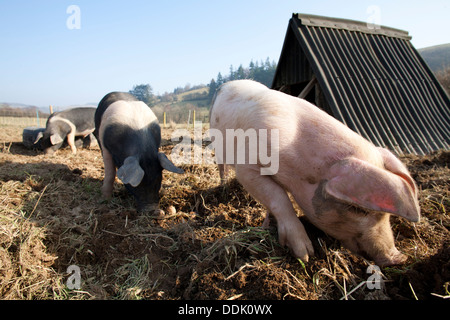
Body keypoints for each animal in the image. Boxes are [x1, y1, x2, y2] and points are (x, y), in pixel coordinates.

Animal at [209, 79, 420, 268]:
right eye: (358, 209)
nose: (398, 258)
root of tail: (226, 85)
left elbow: (274, 201)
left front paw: (266, 227)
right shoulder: (248, 167)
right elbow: (280, 199)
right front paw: (305, 255)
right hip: (217, 144)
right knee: (221, 167)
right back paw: (222, 187)